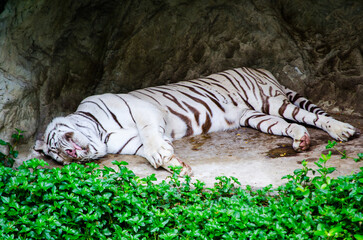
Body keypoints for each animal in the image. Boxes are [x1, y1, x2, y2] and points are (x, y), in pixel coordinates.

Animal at [35, 66, 360, 175]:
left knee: (310, 116)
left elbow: (150, 137)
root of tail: (262, 68)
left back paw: (343, 130)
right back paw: (301, 141)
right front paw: (175, 165)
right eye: (59, 157)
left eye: (63, 141)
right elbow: (148, 150)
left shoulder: (144, 111)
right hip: (255, 116)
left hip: (272, 101)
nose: (72, 154)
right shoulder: (129, 142)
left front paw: (162, 155)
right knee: (294, 125)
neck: (102, 134)